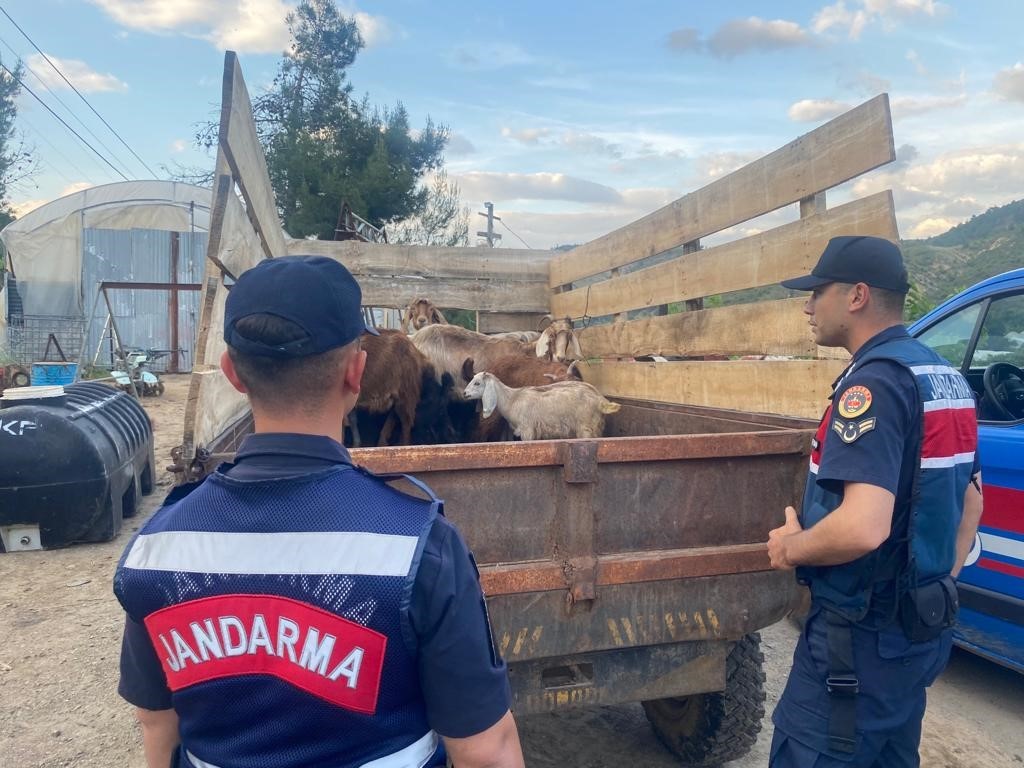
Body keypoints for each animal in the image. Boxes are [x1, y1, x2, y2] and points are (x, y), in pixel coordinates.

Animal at [462, 374, 618, 442]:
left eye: (477, 383)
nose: (464, 393)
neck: (511, 399)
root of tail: (600, 400)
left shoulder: (527, 430)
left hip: (585, 427)